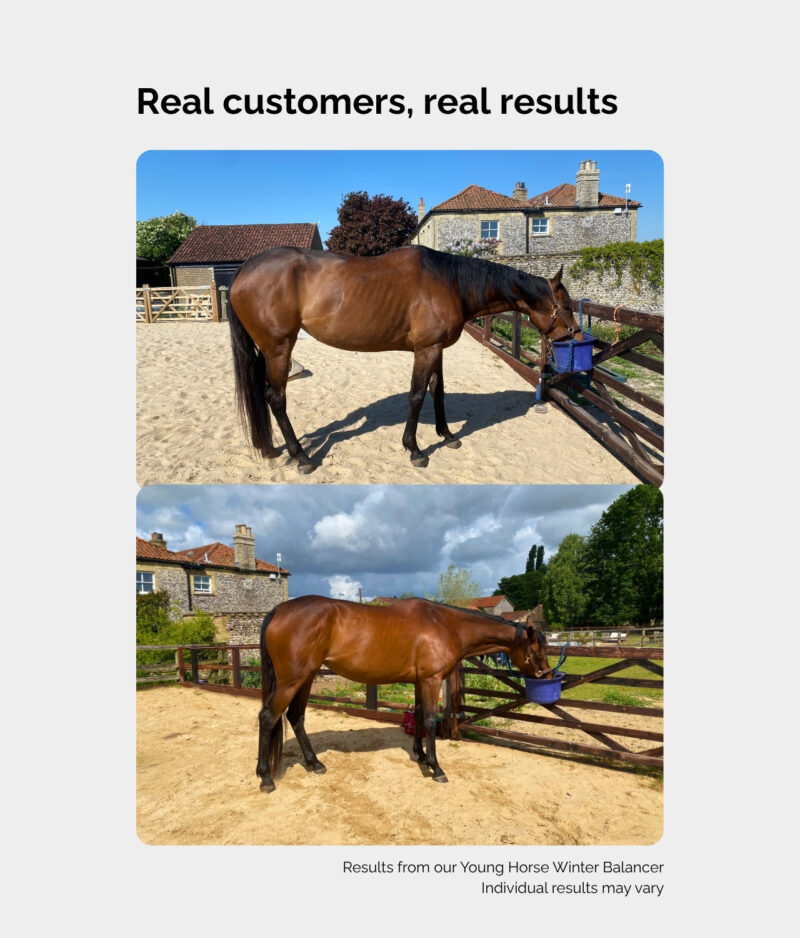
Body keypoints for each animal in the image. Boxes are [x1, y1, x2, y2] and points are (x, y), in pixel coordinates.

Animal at [229, 245, 581, 473]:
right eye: (565, 305)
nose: (576, 336)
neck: (450, 283)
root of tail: (243, 271)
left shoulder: (437, 349)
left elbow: (438, 391)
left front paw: (447, 435)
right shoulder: (426, 350)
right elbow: (416, 395)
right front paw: (414, 450)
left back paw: (270, 447)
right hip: (279, 348)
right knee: (275, 398)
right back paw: (301, 457)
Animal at [255, 595, 554, 791]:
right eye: (537, 649)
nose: (548, 676)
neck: (446, 625)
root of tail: (279, 610)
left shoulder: (420, 681)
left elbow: (420, 716)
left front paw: (420, 755)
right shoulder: (432, 680)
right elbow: (431, 721)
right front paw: (436, 768)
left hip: (305, 678)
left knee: (296, 716)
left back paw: (314, 763)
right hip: (291, 681)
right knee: (268, 717)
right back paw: (266, 777)